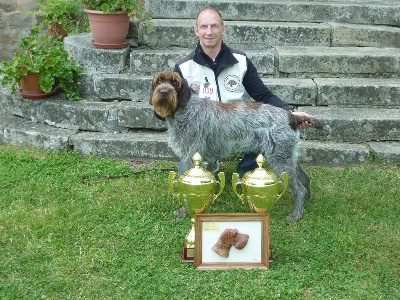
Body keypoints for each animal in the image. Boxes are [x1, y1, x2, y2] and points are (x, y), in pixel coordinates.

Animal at [150, 70, 332, 220]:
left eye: (174, 82)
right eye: (158, 82)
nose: (163, 92)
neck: (184, 110)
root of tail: (290, 116)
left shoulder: (192, 156)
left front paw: (186, 211)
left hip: (280, 160)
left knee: (299, 188)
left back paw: (296, 214)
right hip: (288, 156)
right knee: (304, 178)